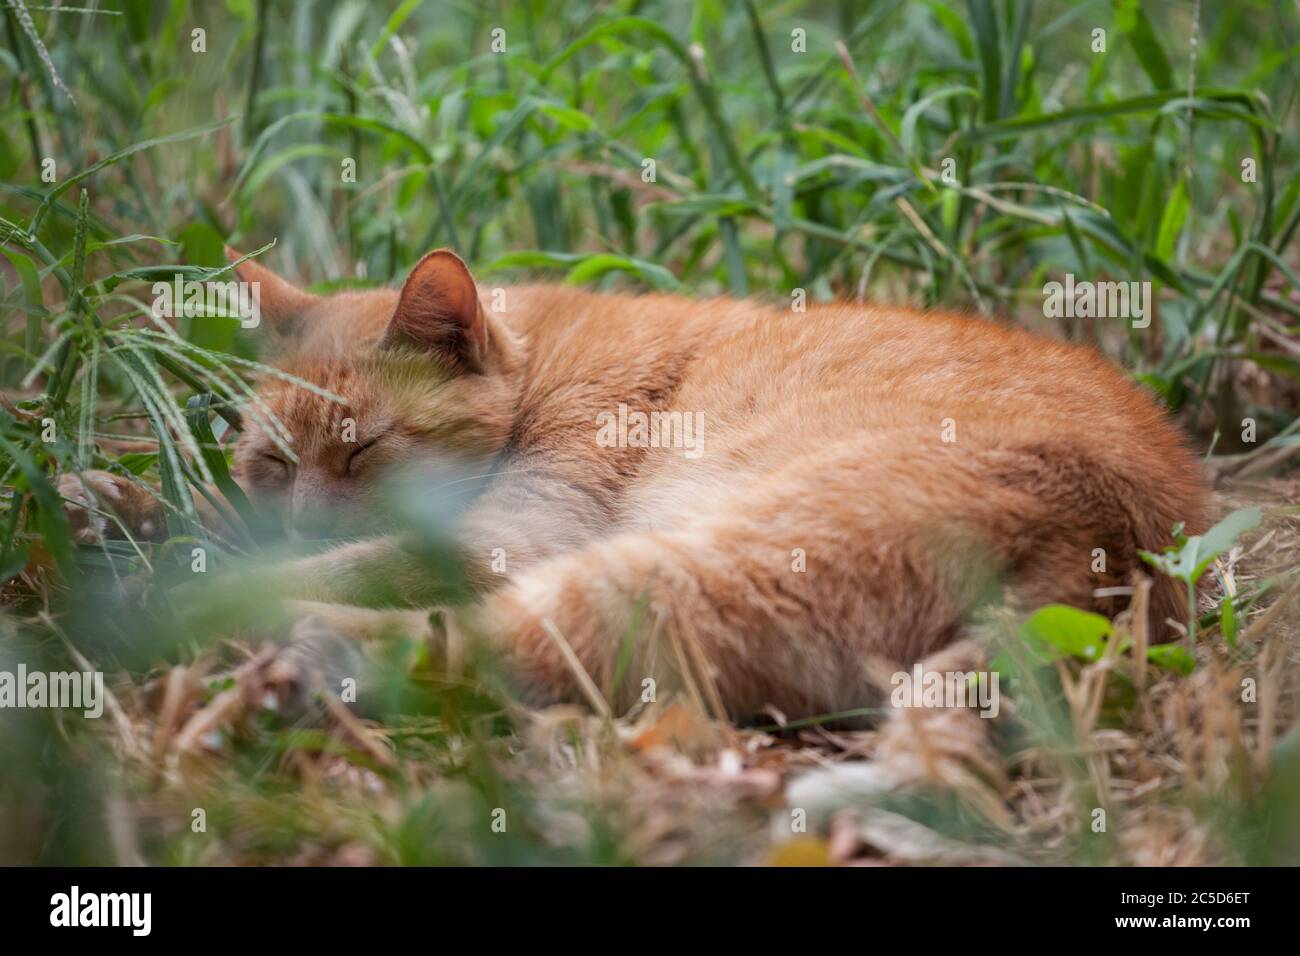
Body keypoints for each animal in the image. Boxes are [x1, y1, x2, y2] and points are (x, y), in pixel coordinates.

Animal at [61, 247, 1206, 717]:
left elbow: (330, 565)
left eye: (363, 452)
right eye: (272, 463)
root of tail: (1131, 546)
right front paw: (113, 502)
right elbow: (211, 521)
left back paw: (292, 653)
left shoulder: (508, 538)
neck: (548, 364)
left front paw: (164, 584)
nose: (298, 520)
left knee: (476, 644)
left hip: (696, 561)